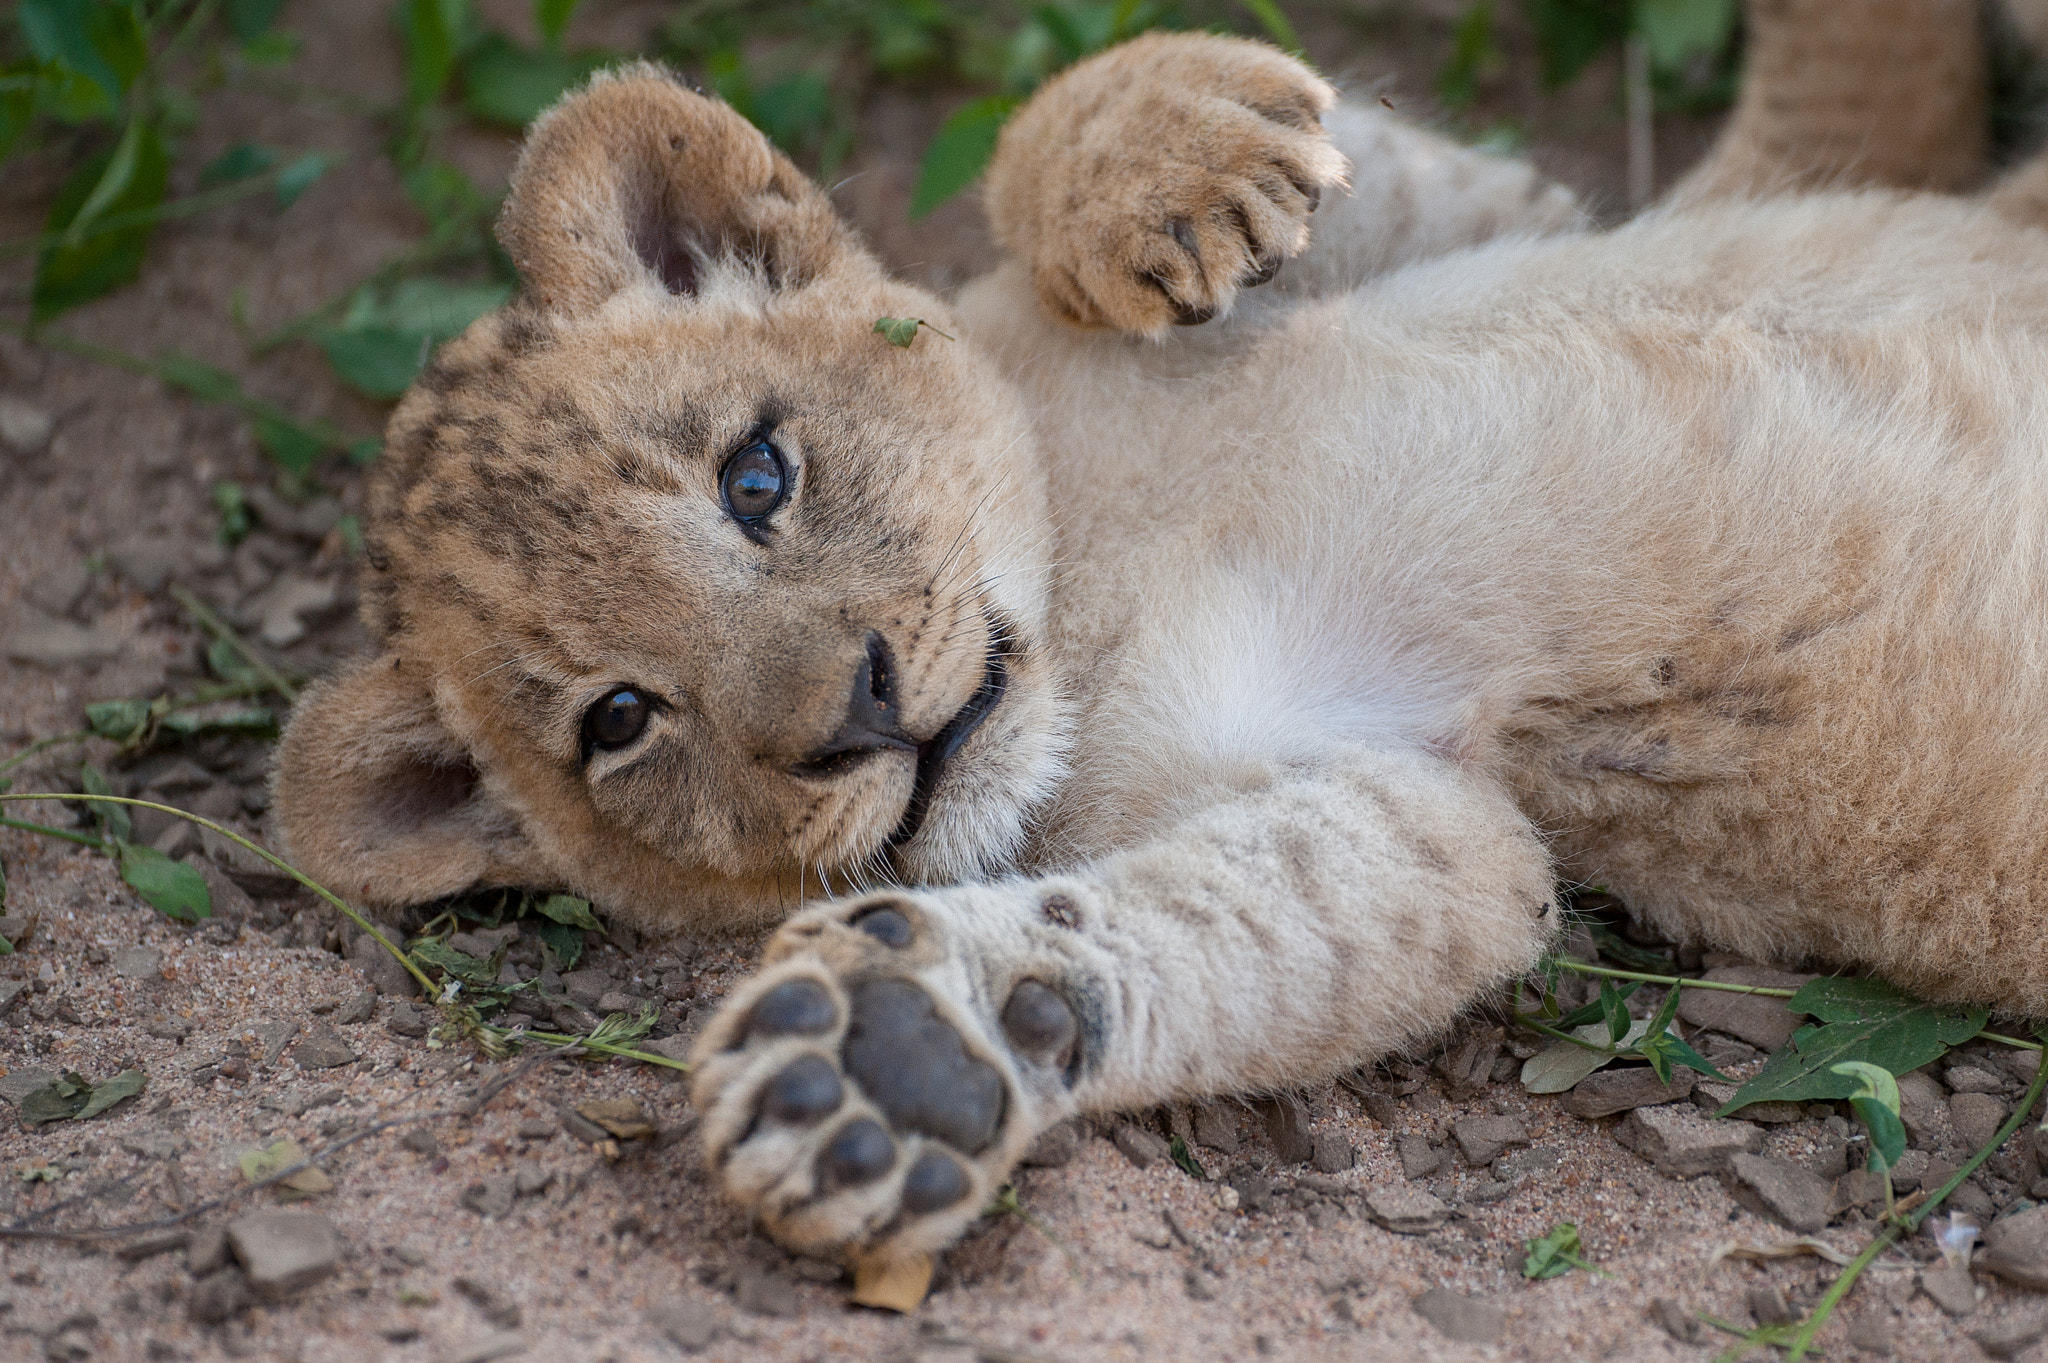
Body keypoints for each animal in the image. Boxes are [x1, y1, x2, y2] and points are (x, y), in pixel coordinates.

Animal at [275, 1, 2048, 1261]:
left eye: (756, 475)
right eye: (619, 720)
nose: (859, 712)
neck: (1097, 547)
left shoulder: (1506, 216)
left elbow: (1087, 143)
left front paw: (1180, 149)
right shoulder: (1426, 812)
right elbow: (1270, 911)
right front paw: (906, 1055)